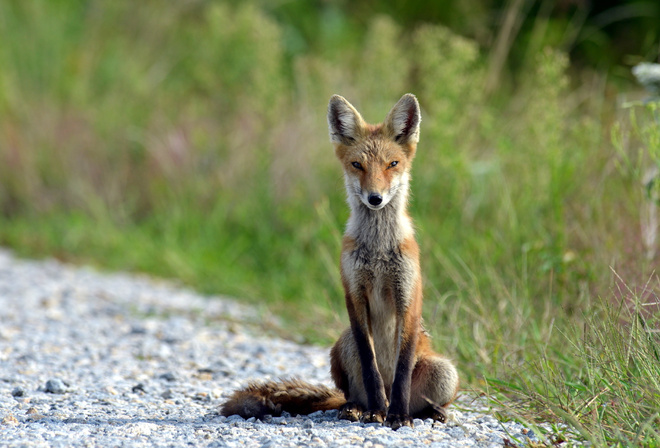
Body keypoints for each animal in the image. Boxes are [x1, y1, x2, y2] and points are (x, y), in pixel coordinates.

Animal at [222, 94, 458, 430]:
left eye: (393, 164)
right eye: (357, 165)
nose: (375, 198)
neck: (378, 251)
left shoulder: (407, 297)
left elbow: (402, 371)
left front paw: (397, 417)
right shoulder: (354, 294)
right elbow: (370, 365)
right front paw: (377, 412)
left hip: (445, 372)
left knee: (422, 402)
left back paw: (426, 412)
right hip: (342, 345)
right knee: (352, 394)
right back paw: (358, 408)